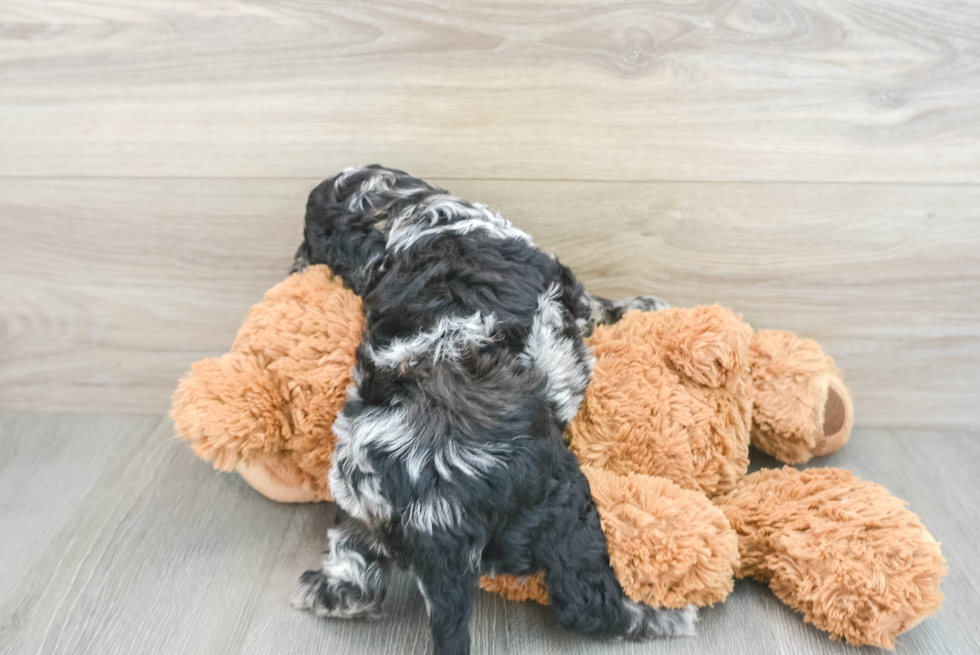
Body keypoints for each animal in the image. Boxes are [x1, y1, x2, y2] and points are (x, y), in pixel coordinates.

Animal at [290, 165, 688, 655]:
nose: (295, 264)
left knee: (352, 578)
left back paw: (328, 591)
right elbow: (602, 305)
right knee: (583, 600)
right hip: (563, 505)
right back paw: (661, 616)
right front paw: (646, 304)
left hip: (358, 503)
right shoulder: (574, 297)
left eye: (312, 240)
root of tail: (435, 514)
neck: (406, 214)